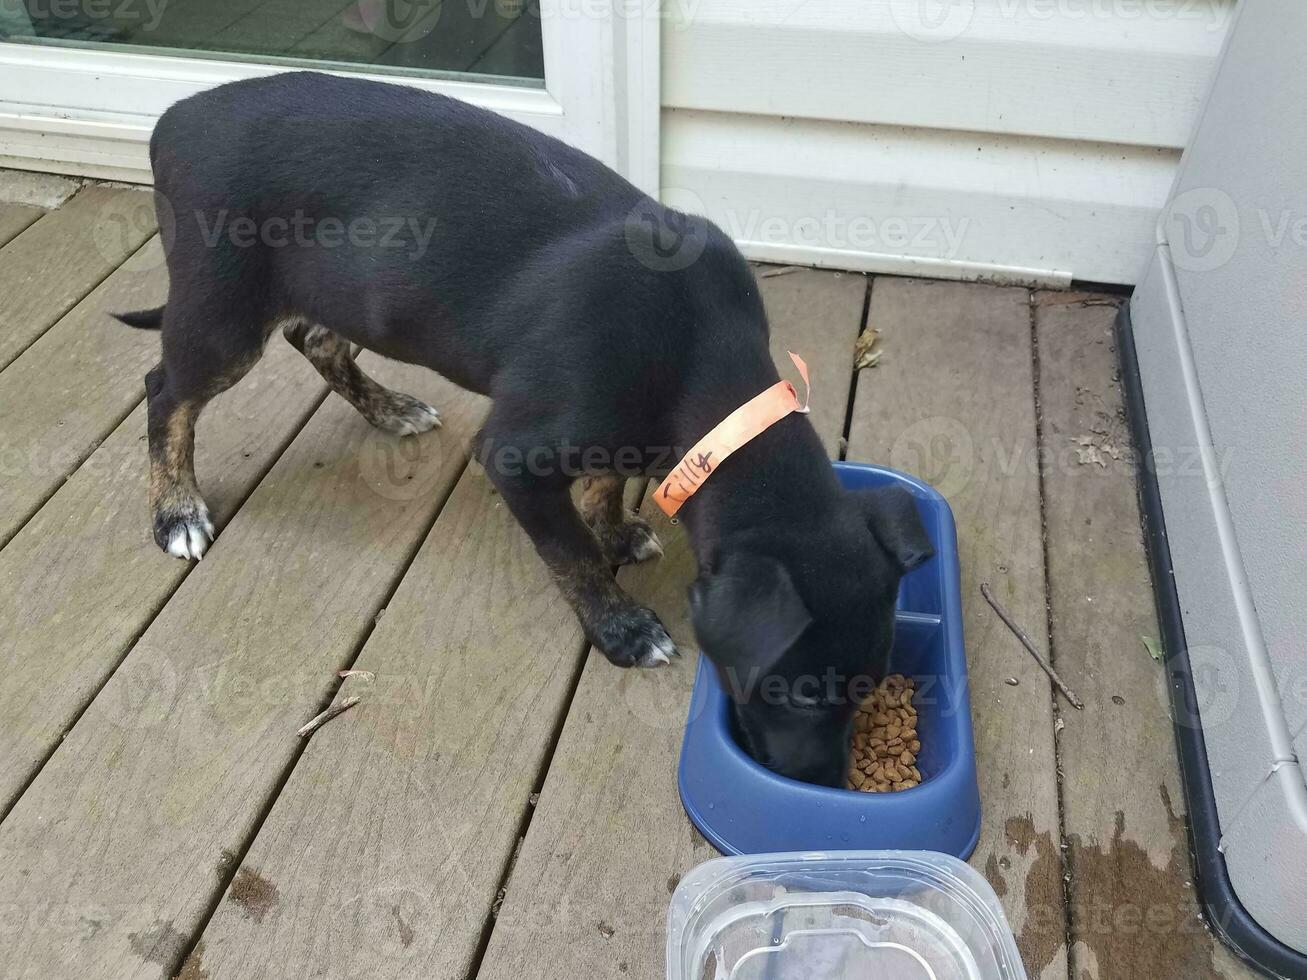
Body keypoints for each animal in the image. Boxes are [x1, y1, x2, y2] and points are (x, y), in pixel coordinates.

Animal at [112, 72, 930, 789]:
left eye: (869, 686)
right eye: (797, 693)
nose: (822, 783)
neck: (705, 367)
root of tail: (174, 118)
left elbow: (603, 483)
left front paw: (617, 531)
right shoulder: (516, 456)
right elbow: (569, 555)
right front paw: (623, 628)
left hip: (334, 288)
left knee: (315, 340)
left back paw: (390, 409)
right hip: (221, 313)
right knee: (165, 393)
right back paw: (175, 510)